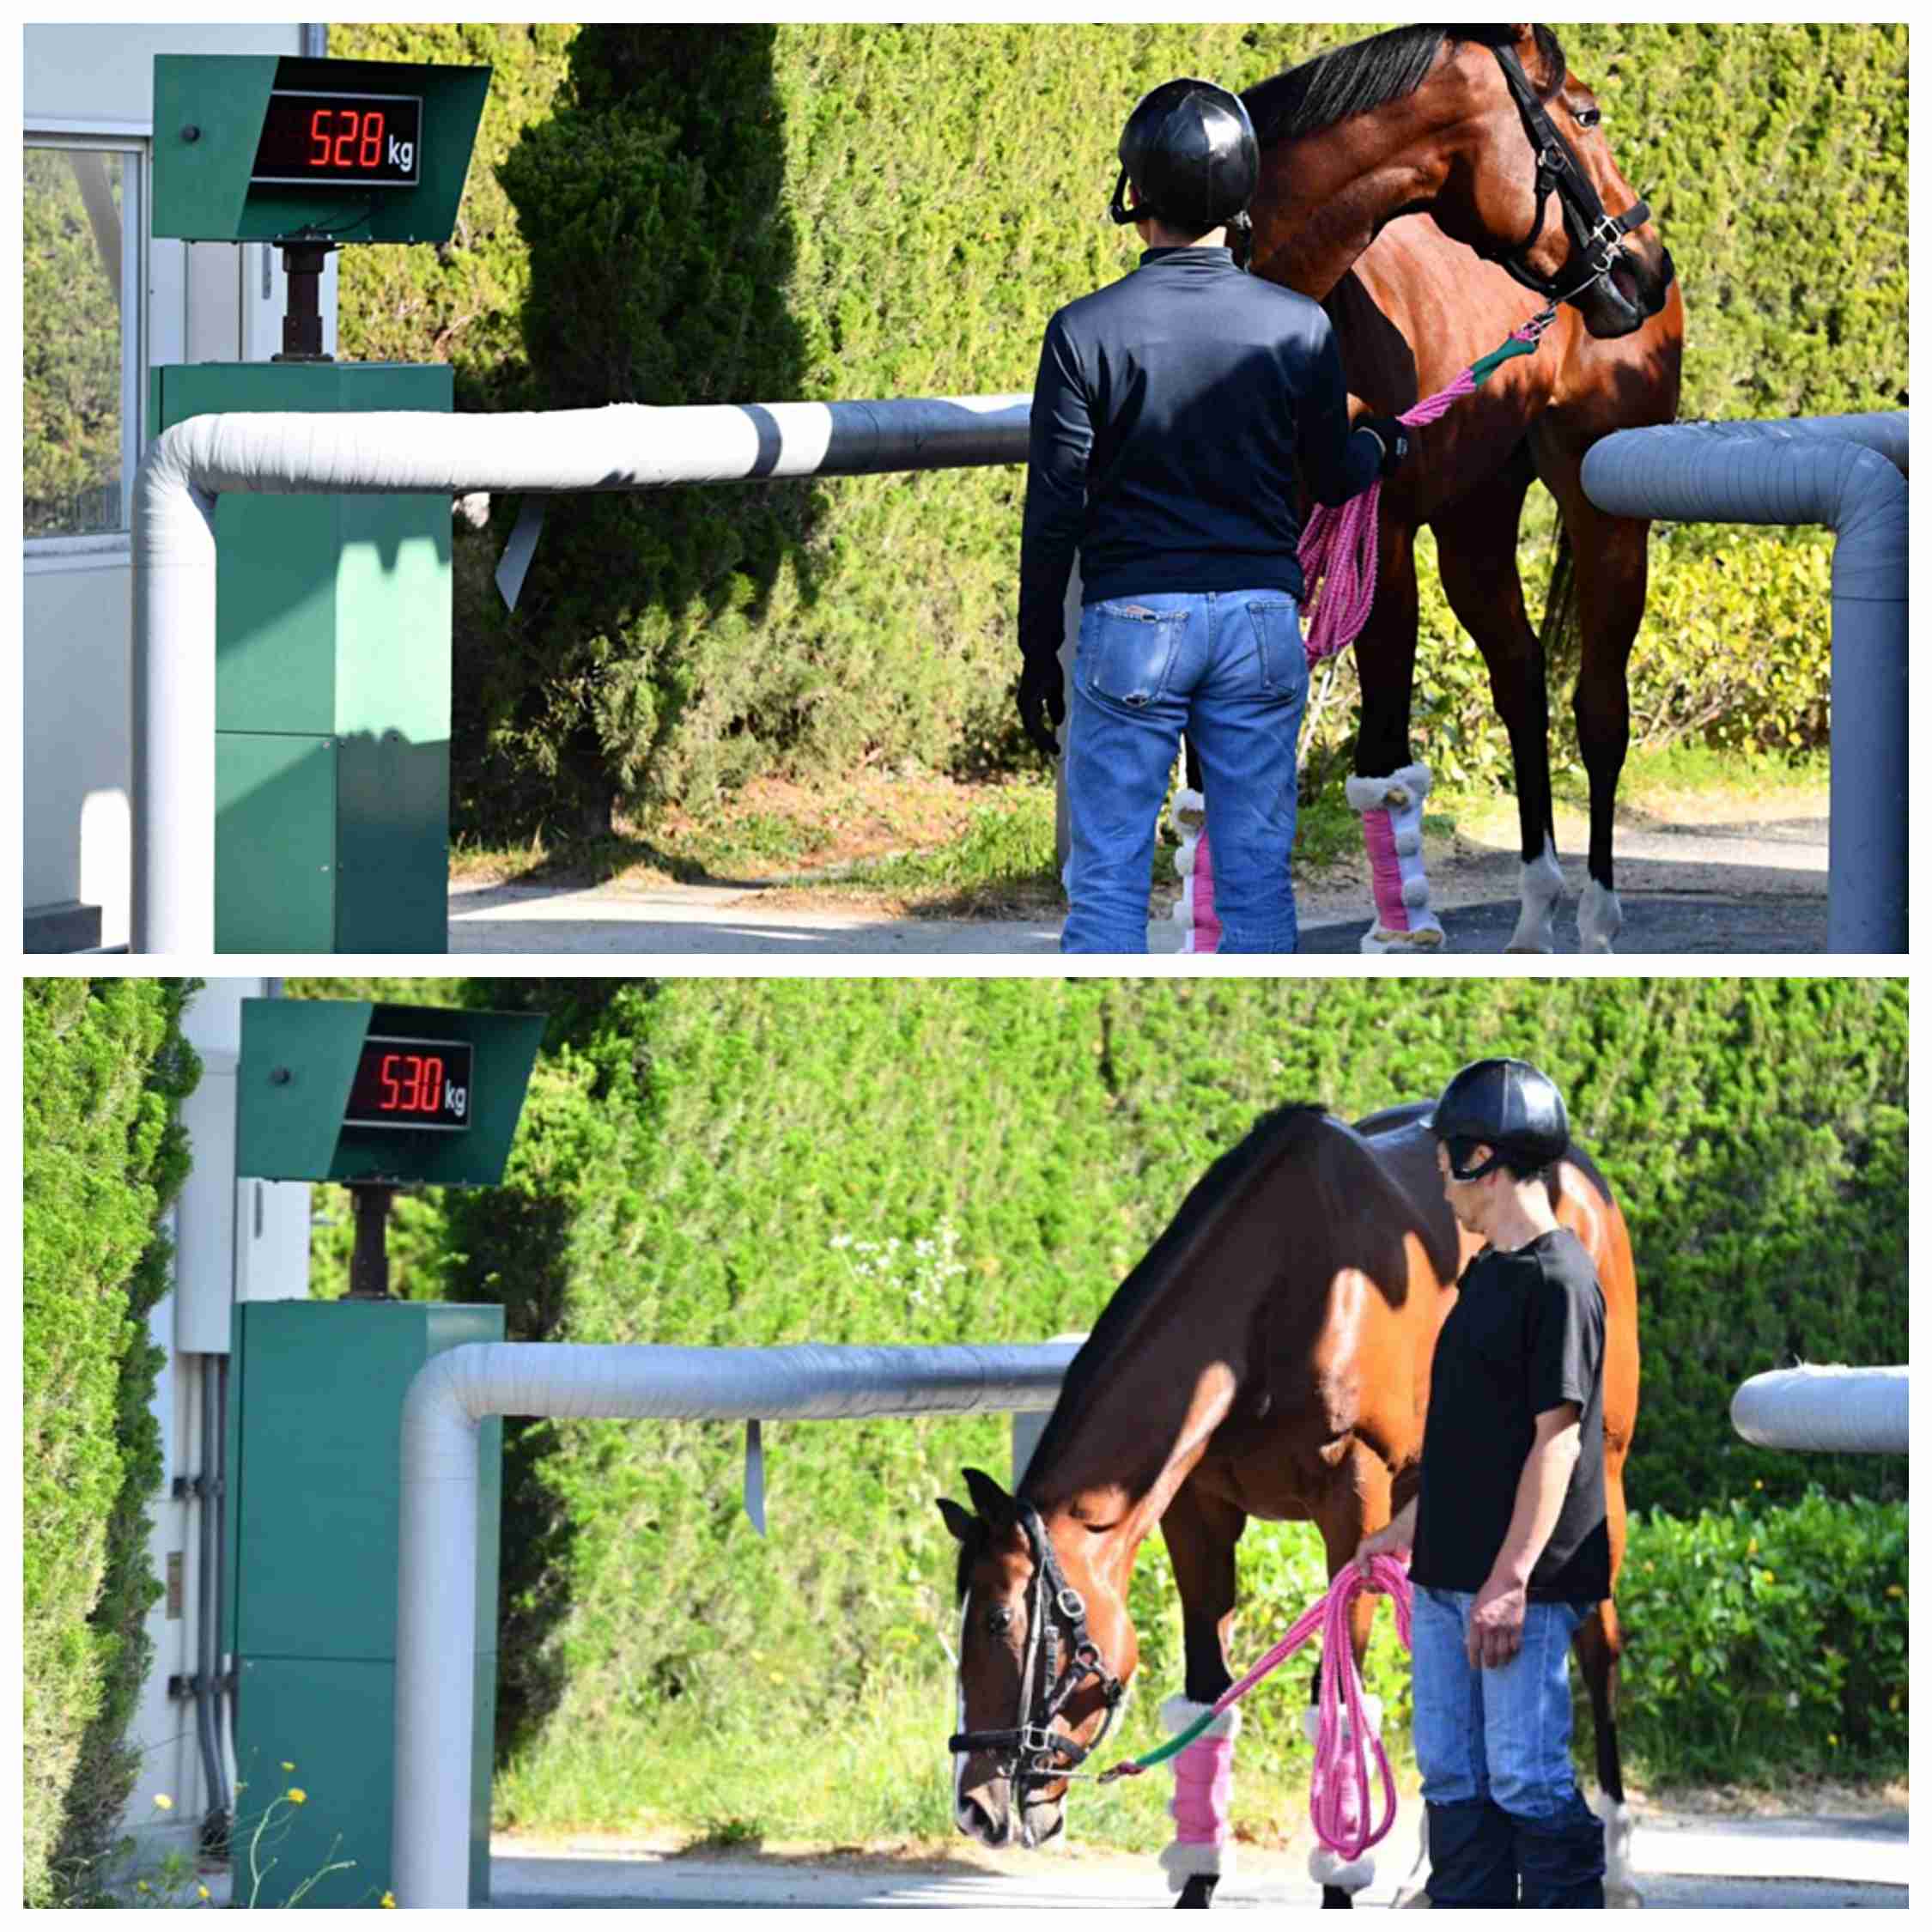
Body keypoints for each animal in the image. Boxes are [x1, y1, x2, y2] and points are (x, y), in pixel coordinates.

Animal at [941, 1101, 1640, 1910]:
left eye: (1000, 1621)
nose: (975, 1806)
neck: (1273, 1301)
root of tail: (1583, 1182)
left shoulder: (1355, 1505)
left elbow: (1339, 1702)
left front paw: (1339, 1887)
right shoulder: (1198, 1511)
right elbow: (1207, 1699)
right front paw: (1196, 1884)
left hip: (1597, 1481)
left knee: (1599, 1650)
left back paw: (1617, 1866)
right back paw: (1427, 1875)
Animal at [1242, 24, 1685, 952]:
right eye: (1586, 114)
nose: (1646, 262)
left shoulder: (1379, 553)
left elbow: (1380, 757)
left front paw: (1395, 935)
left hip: (1603, 516)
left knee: (1598, 708)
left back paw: (1595, 916)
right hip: (1476, 524)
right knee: (1522, 680)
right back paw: (1536, 912)